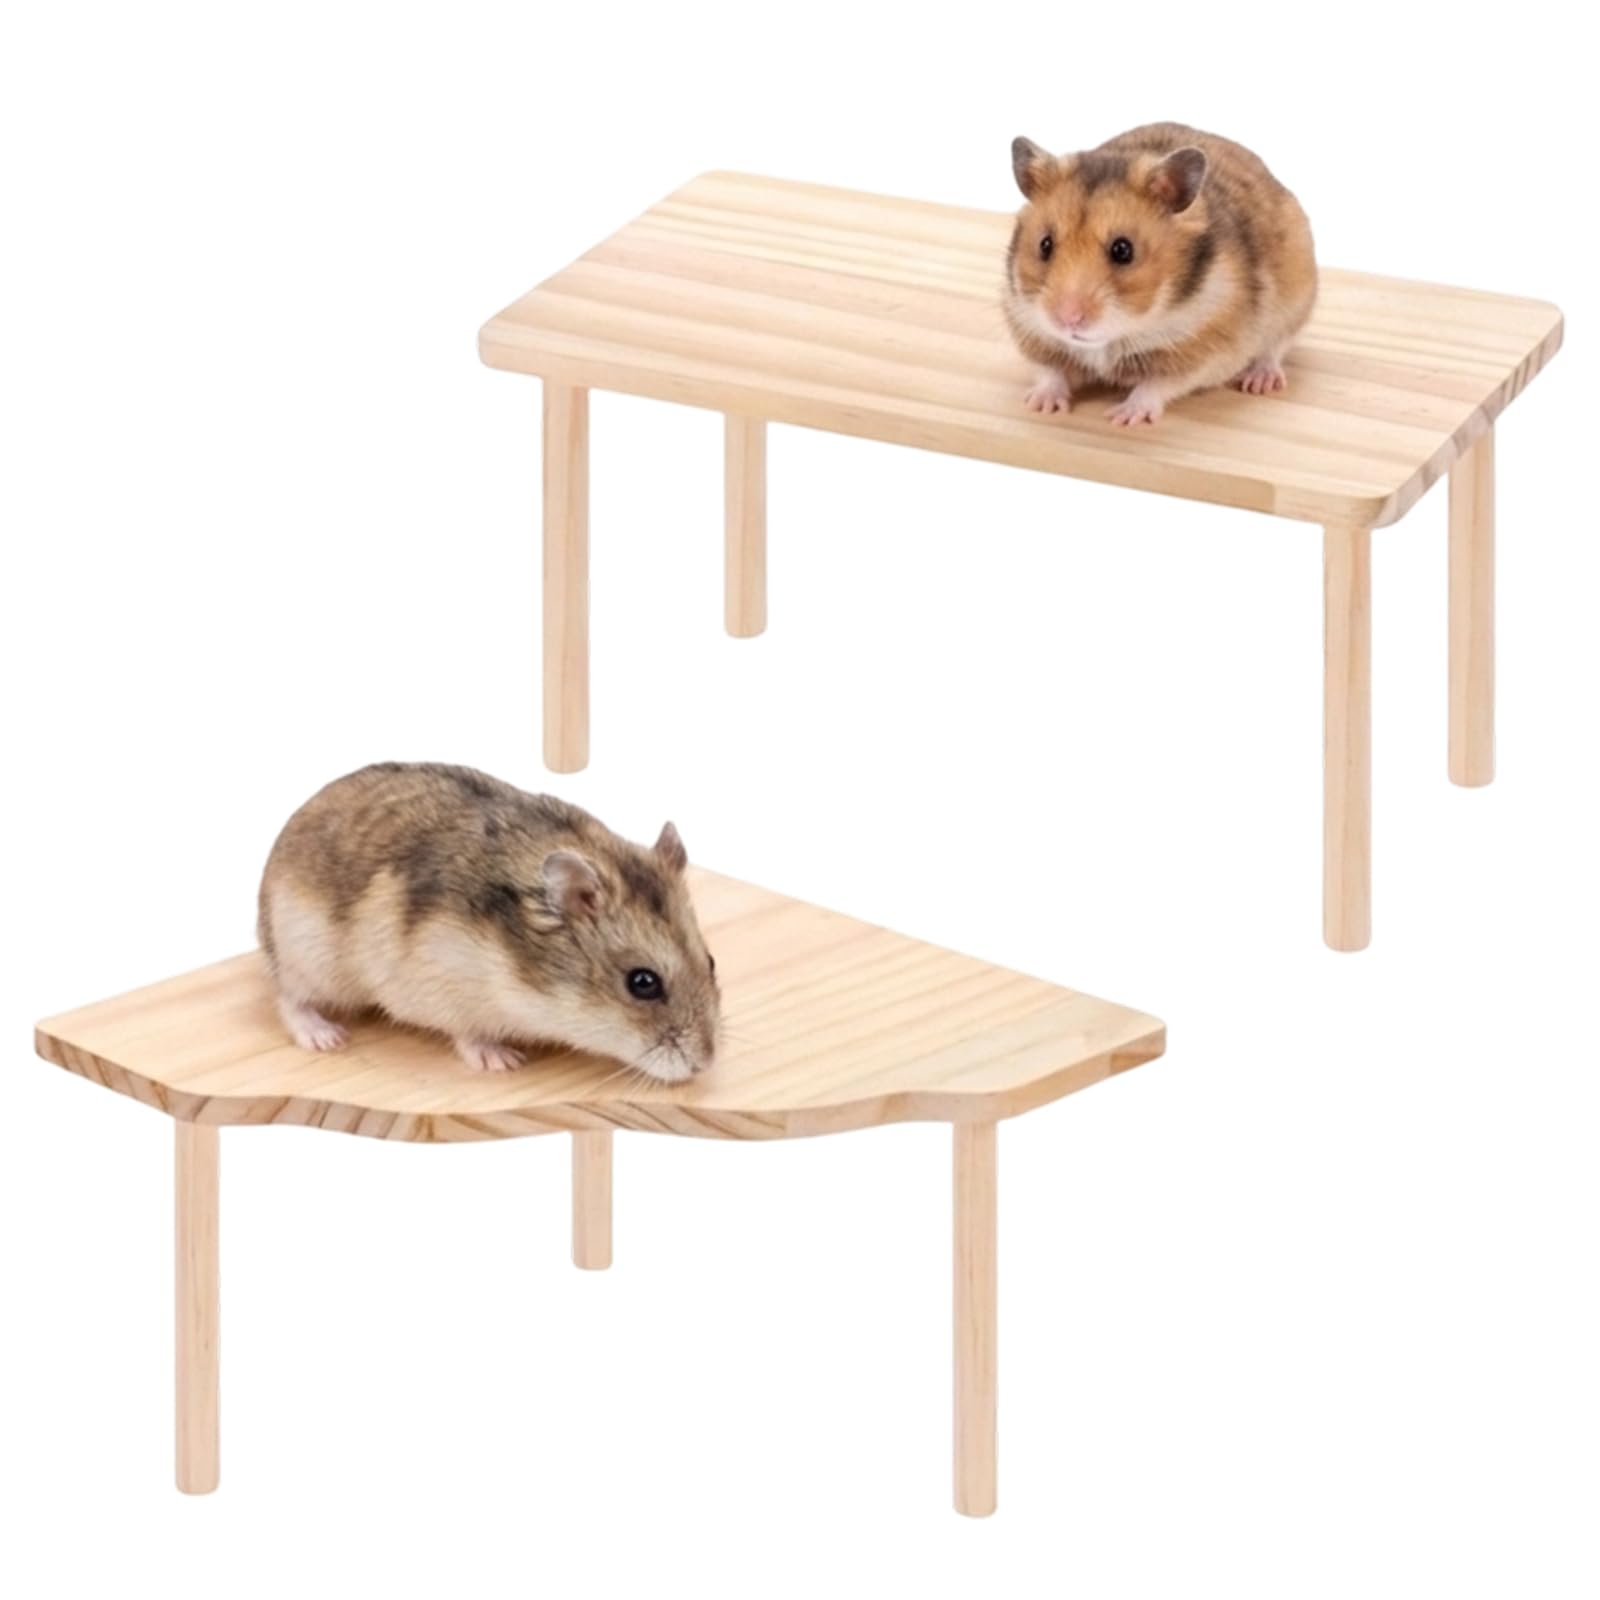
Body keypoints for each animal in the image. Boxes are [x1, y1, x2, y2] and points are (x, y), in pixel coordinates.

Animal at [257, 763, 721, 1082]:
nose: (705, 1064)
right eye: (642, 983)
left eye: (712, 961)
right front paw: (504, 1062)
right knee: (288, 997)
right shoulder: (445, 987)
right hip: (309, 957)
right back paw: (327, 1038)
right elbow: (468, 1033)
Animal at [1004, 122, 1317, 426]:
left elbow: (1156, 385)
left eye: (1123, 250)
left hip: (1296, 302)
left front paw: (1122, 418)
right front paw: (1039, 406)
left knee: (1274, 349)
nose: (1068, 319)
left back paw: (1259, 382)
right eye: (1045, 245)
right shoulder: (1031, 330)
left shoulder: (1202, 352)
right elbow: (1050, 371)